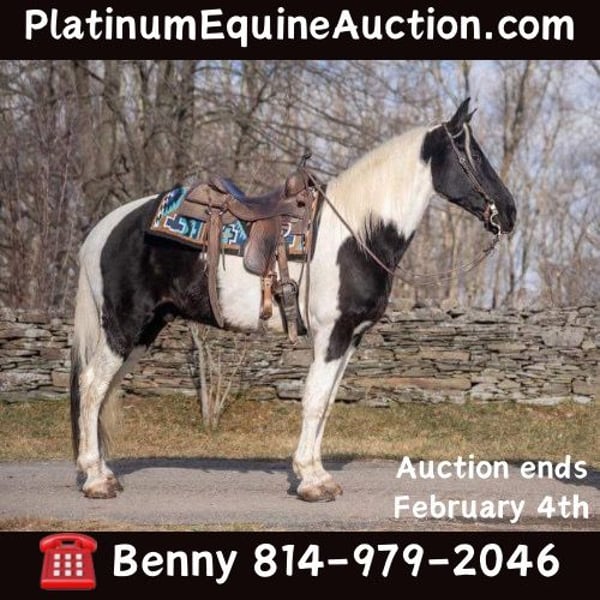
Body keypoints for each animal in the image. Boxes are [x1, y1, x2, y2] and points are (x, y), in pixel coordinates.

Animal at [70, 98, 516, 502]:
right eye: (473, 154)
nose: (509, 212)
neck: (358, 232)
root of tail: (103, 231)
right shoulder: (331, 333)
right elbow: (315, 400)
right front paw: (311, 481)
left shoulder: (350, 337)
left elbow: (327, 402)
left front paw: (317, 473)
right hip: (125, 325)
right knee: (92, 386)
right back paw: (96, 480)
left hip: (145, 329)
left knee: (104, 390)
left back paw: (103, 471)